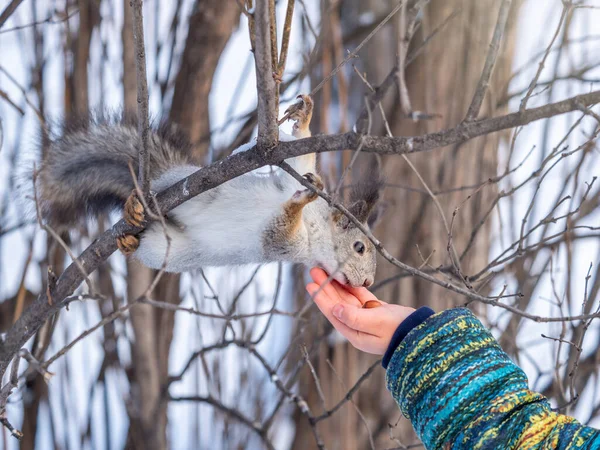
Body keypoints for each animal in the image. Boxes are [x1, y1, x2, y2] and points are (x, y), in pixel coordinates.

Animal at [37, 95, 382, 288]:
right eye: (359, 248)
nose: (367, 282)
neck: (314, 226)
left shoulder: (287, 247)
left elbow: (276, 231)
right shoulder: (293, 182)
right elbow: (300, 162)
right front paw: (304, 118)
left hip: (167, 250)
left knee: (146, 243)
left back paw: (129, 242)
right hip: (181, 187)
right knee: (154, 191)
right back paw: (134, 205)